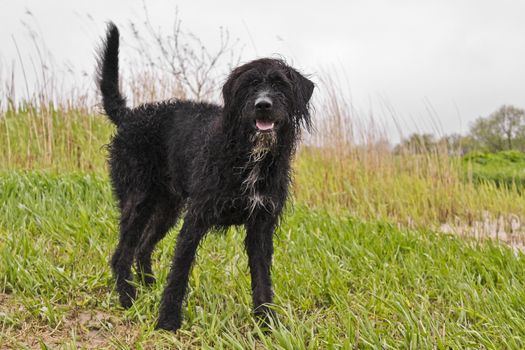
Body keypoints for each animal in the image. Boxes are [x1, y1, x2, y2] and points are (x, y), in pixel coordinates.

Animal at [96, 23, 314, 332]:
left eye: (281, 85)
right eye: (249, 85)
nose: (263, 104)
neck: (246, 154)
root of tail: (129, 116)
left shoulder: (261, 225)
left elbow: (262, 279)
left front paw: (267, 324)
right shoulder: (196, 218)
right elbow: (179, 271)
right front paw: (167, 321)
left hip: (167, 209)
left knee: (142, 246)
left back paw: (148, 286)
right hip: (138, 201)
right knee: (122, 253)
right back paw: (128, 298)